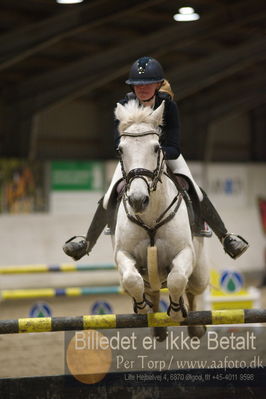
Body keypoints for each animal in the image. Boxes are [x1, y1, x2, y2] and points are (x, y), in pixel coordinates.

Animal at [112, 101, 208, 340]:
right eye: (120, 149)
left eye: (157, 147)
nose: (138, 200)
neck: (150, 215)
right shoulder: (123, 254)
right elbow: (132, 280)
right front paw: (141, 308)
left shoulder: (185, 252)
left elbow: (177, 279)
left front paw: (176, 312)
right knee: (152, 289)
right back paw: (157, 326)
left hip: (200, 274)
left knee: (192, 290)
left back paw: (195, 327)